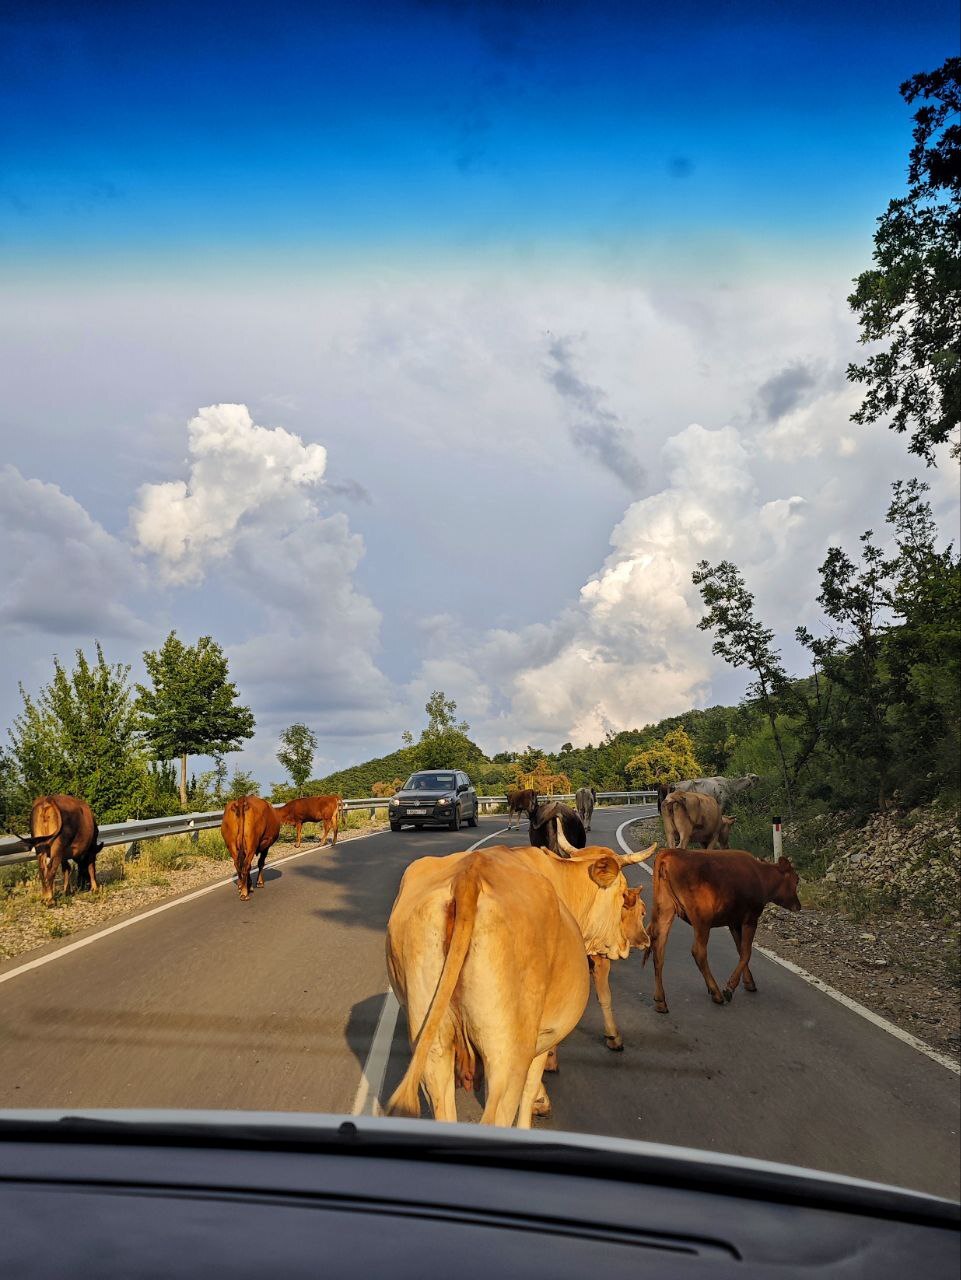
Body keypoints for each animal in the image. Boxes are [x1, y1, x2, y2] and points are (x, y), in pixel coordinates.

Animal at [386, 839, 660, 1131]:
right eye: (622, 894)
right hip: (506, 1057)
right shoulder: (544, 1035)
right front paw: (540, 1101)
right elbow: (529, 1090)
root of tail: (469, 876)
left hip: (433, 1047)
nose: (637, 942)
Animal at [647, 844, 803, 1013]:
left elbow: (741, 950)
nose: (798, 906)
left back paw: (660, 1001)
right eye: (796, 880)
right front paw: (730, 987)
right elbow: (746, 953)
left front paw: (749, 982)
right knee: (698, 952)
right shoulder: (750, 919)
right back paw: (716, 992)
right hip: (702, 917)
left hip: (665, 911)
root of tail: (668, 853)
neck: (762, 878)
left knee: (658, 951)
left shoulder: (734, 922)